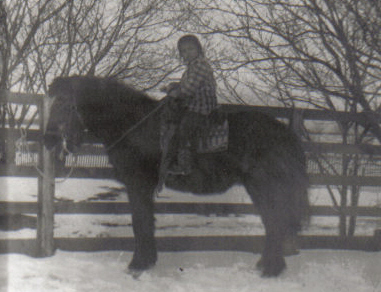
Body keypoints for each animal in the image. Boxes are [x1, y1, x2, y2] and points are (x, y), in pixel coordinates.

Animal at [43, 74, 308, 276]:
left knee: (275, 222)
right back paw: (266, 265)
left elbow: (140, 223)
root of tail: (285, 133)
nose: (48, 140)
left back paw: (271, 269)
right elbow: (146, 222)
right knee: (273, 223)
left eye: (64, 103)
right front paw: (147, 261)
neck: (133, 125)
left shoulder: (138, 183)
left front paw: (137, 265)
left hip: (266, 186)